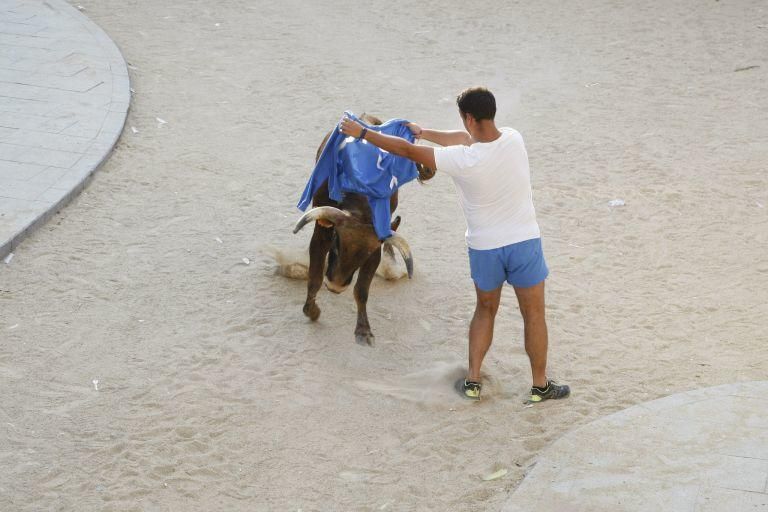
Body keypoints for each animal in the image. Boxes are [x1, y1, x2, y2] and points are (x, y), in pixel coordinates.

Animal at [294, 114, 436, 346]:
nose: (336, 287)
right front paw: (312, 310)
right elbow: (315, 276)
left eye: (365, 255)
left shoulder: (375, 251)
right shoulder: (321, 233)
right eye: (336, 242)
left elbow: (361, 290)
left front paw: (363, 330)